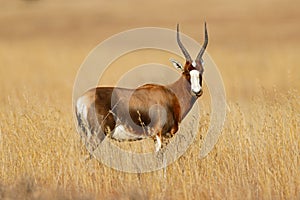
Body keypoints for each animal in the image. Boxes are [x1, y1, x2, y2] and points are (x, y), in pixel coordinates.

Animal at [75, 22, 209, 152]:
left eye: (201, 71)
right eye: (186, 72)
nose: (197, 91)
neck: (171, 94)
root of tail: (82, 100)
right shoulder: (160, 136)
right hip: (97, 135)